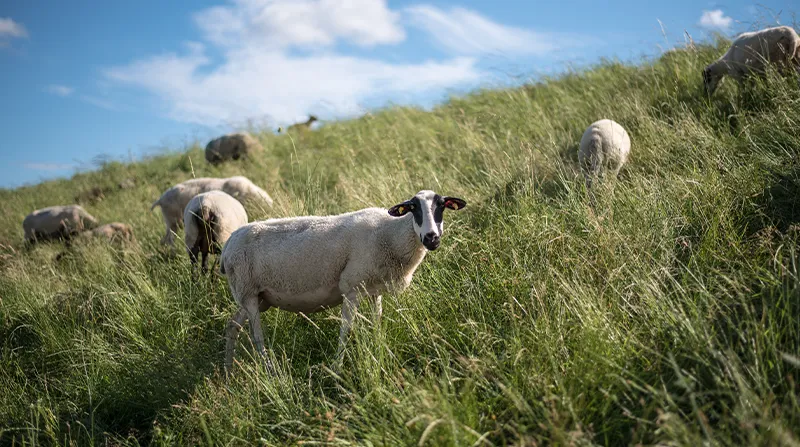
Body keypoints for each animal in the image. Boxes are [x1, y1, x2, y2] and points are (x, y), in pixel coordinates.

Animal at [220, 190, 467, 371]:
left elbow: (377, 325)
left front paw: (379, 353)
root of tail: (228, 244)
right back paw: (269, 369)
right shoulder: (351, 287)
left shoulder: (374, 289)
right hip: (247, 292)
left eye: (442, 206)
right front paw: (337, 368)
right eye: (414, 208)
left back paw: (228, 370)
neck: (389, 234)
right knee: (256, 336)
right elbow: (346, 330)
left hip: (256, 297)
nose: (431, 238)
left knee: (232, 326)